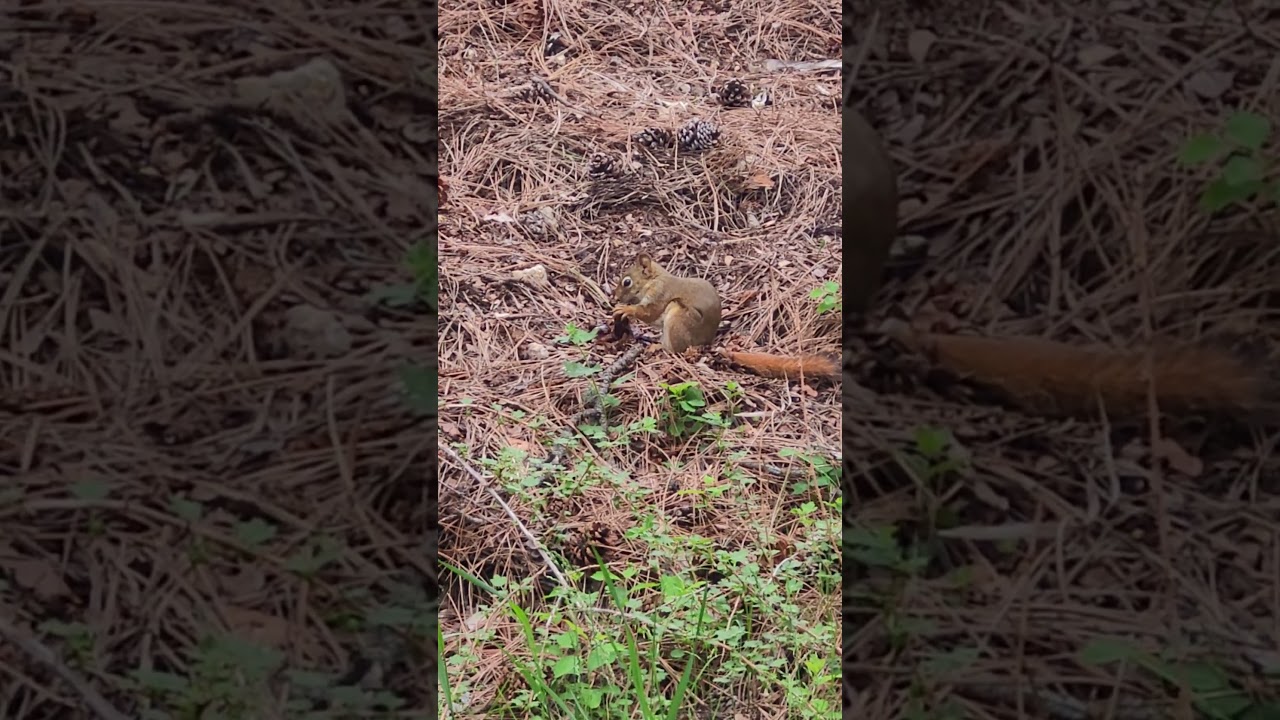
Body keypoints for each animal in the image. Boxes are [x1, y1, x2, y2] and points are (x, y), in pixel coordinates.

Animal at [610, 253, 840, 380]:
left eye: (627, 282)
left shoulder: (660, 294)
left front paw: (625, 309)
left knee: (676, 350)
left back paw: (657, 347)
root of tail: (706, 344)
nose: (615, 297)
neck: (654, 280)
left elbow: (650, 313)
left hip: (678, 317)